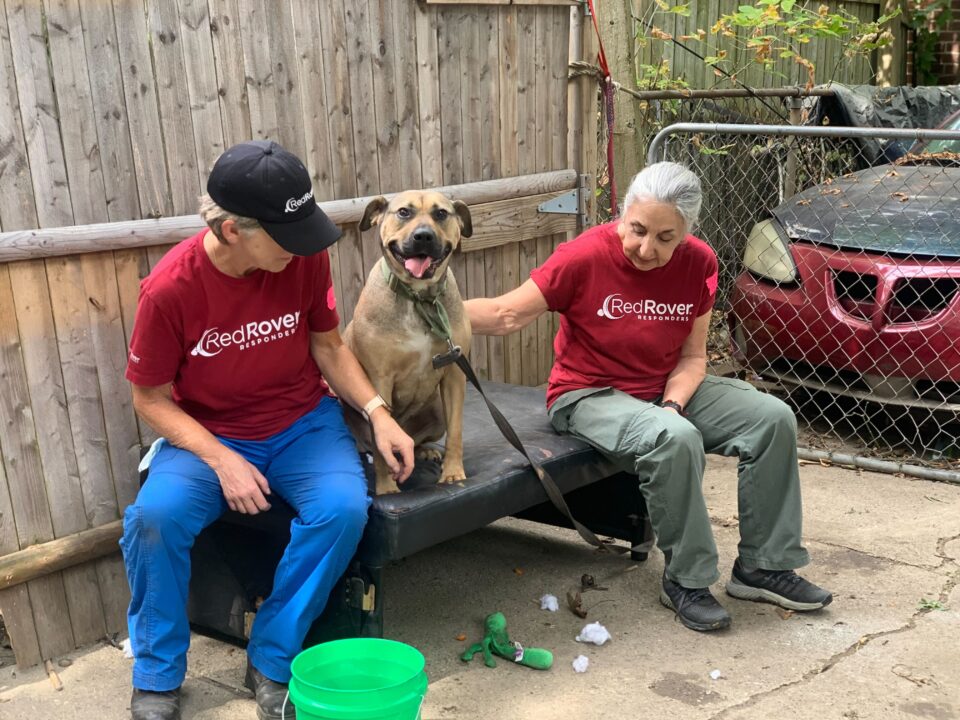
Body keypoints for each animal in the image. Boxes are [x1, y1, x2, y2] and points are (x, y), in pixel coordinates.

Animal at [344, 191, 472, 496]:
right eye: (403, 212)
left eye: (441, 213)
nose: (423, 236)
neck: (418, 299)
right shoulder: (379, 380)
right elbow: (382, 443)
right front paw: (386, 488)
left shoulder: (454, 375)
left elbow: (456, 431)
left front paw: (452, 473)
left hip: (436, 409)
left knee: (414, 442)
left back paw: (424, 450)